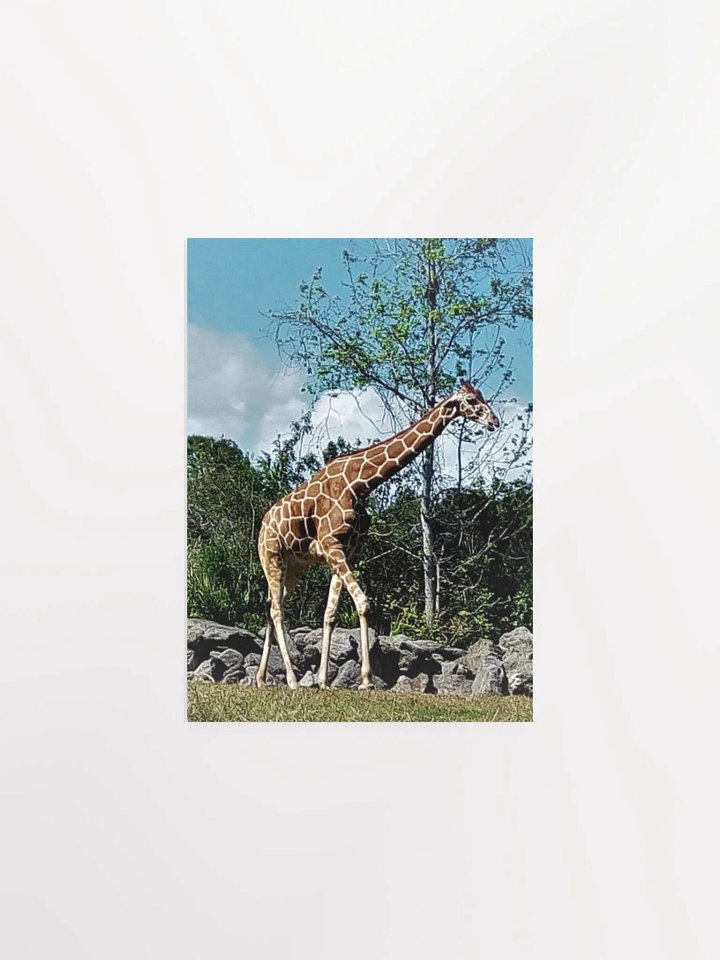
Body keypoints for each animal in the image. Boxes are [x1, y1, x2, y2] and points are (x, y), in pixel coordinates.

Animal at [256, 381, 500, 690]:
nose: (494, 421)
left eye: (483, 397)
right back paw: (291, 680)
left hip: (293, 567)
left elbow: (330, 614)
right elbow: (363, 603)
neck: (360, 484)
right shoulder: (331, 544)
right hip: (272, 556)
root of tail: (263, 525)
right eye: (471, 400)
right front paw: (366, 680)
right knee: (277, 610)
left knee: (270, 605)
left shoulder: (347, 550)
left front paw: (325, 681)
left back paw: (261, 679)